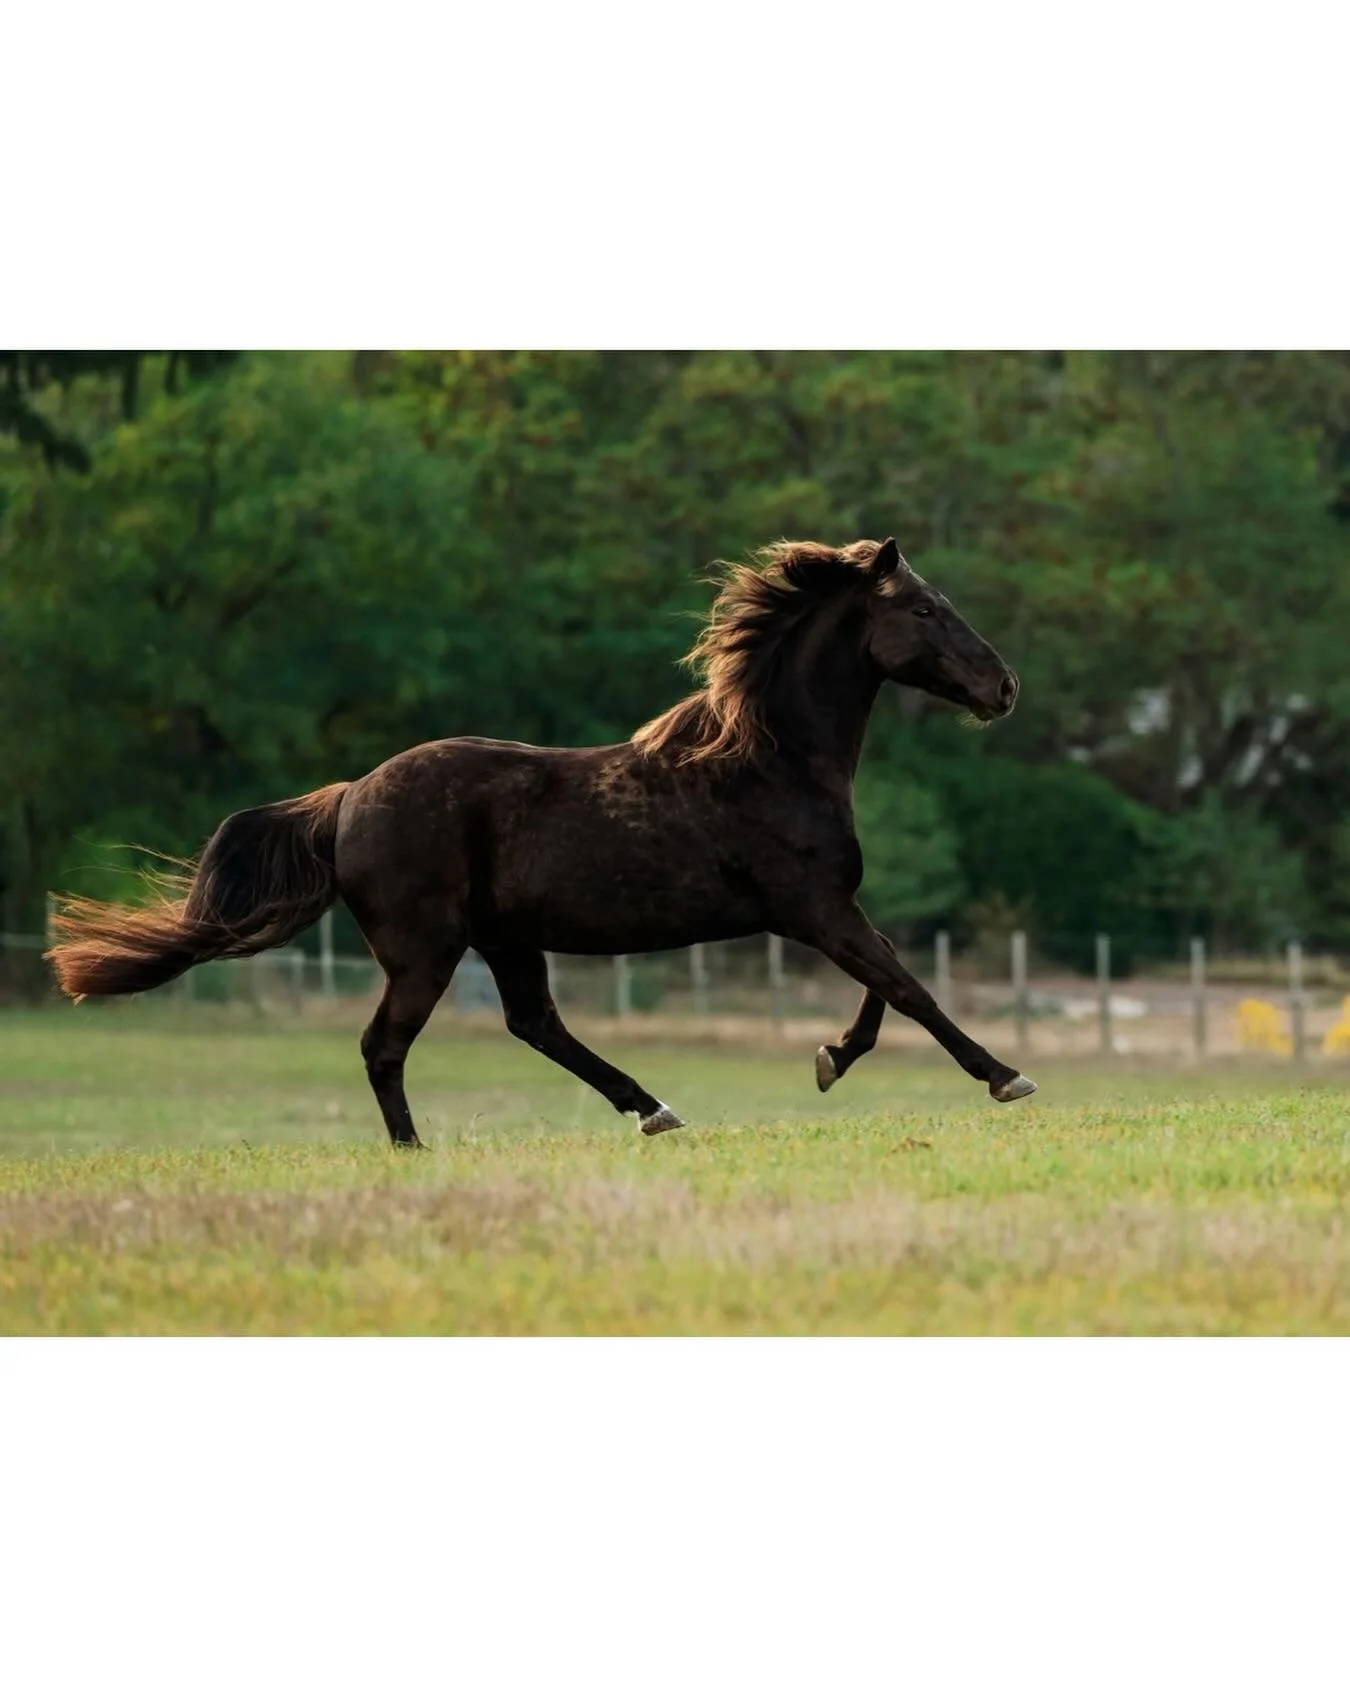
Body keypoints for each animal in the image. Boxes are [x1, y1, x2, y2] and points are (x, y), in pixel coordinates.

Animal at [46, 536, 1036, 1147]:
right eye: (927, 609)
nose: (1004, 687)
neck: (772, 757)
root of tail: (349, 797)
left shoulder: (822, 911)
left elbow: (887, 983)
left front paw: (830, 1058)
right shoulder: (813, 908)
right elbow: (907, 986)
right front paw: (1004, 1076)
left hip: (505, 939)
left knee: (534, 1023)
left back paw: (653, 1109)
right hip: (427, 949)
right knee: (385, 1045)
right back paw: (415, 1149)